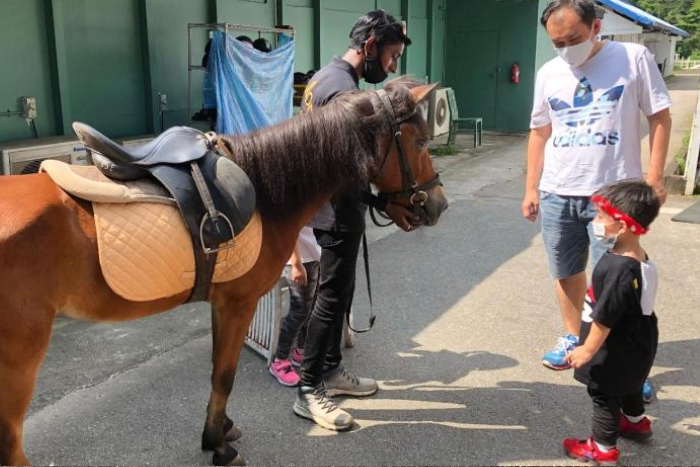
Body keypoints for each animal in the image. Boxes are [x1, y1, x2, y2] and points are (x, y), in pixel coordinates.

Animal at [0, 78, 448, 466]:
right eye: (420, 141)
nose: (438, 205)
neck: (266, 192)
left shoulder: (223, 303)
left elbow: (218, 371)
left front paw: (221, 430)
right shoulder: (238, 302)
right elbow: (224, 375)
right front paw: (218, 445)